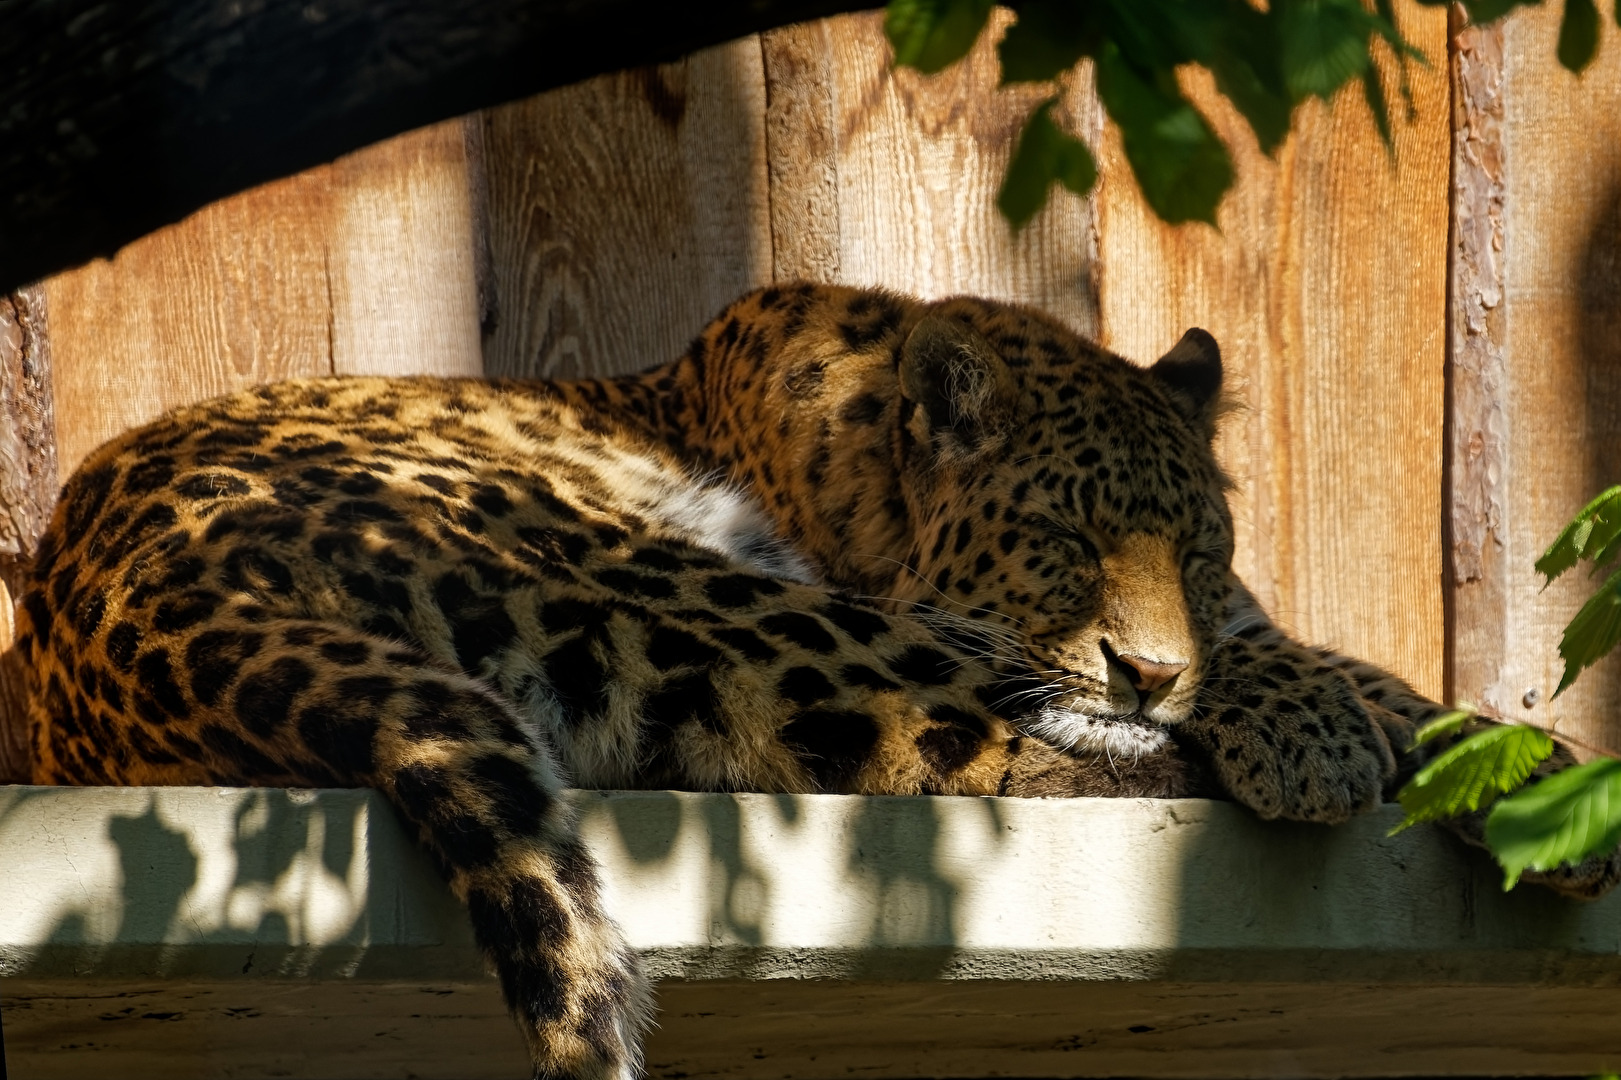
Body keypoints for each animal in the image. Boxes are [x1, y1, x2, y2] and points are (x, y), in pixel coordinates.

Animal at [15, 282, 1617, 1079]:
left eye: (1200, 541)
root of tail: (117, 613)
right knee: (954, 737)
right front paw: (1306, 734)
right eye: (1062, 538)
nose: (1150, 664)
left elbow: (1346, 660)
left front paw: (1532, 779)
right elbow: (1280, 675)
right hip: (659, 575)